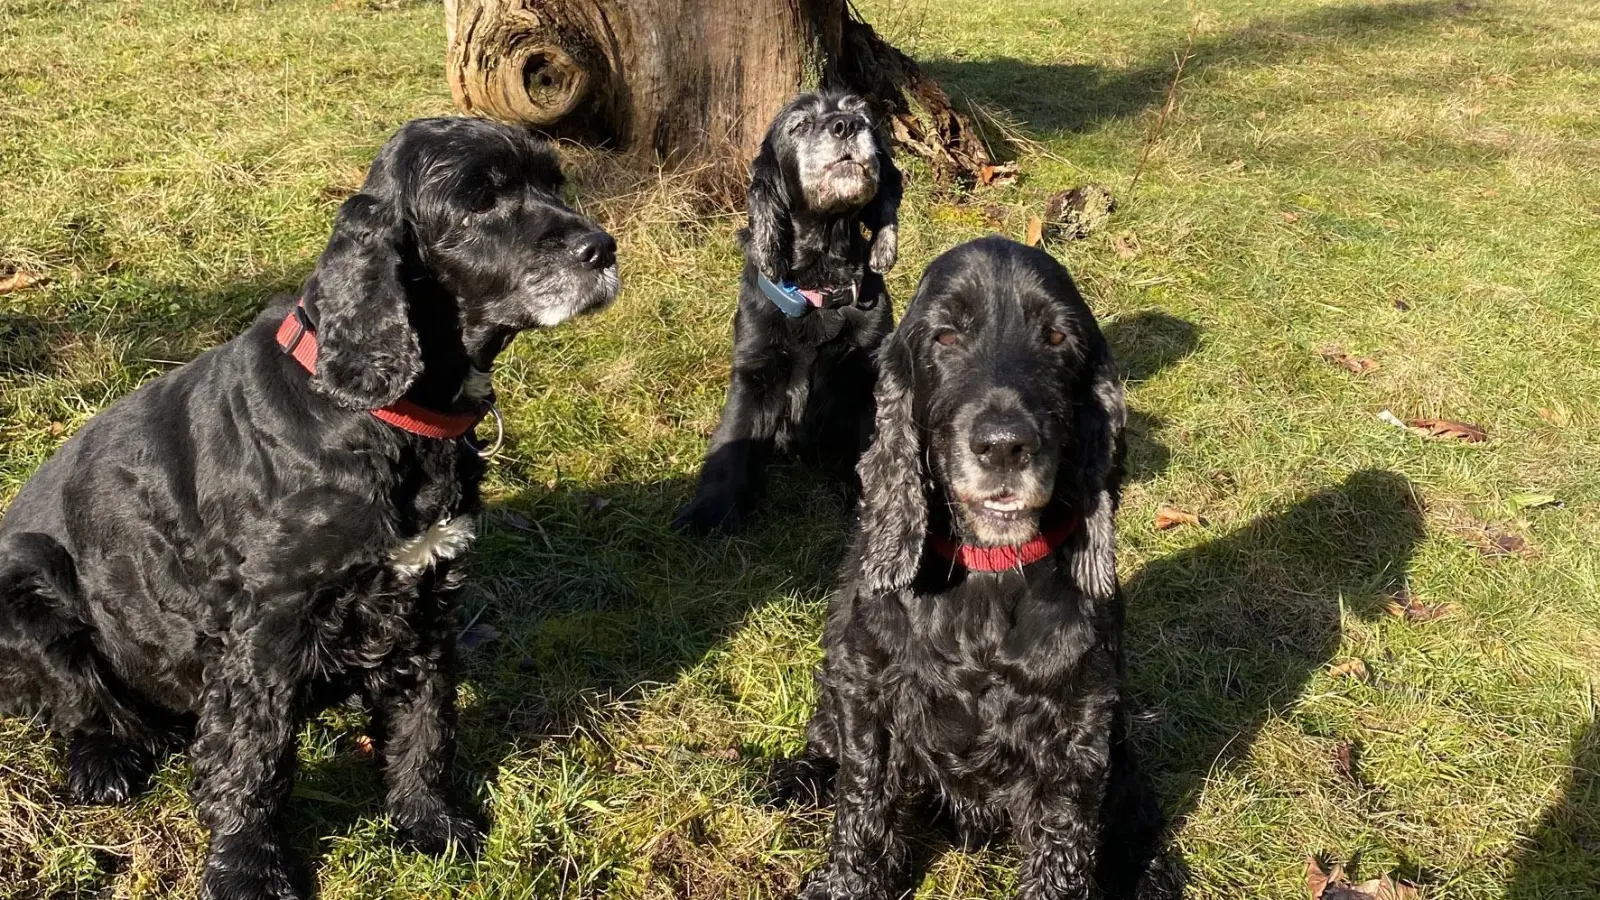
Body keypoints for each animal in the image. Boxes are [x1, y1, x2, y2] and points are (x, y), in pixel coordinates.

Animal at [672, 92, 902, 531]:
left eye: (863, 116)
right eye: (799, 125)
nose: (847, 125)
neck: (819, 287)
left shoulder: (867, 372)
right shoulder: (755, 367)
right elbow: (733, 437)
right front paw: (710, 510)